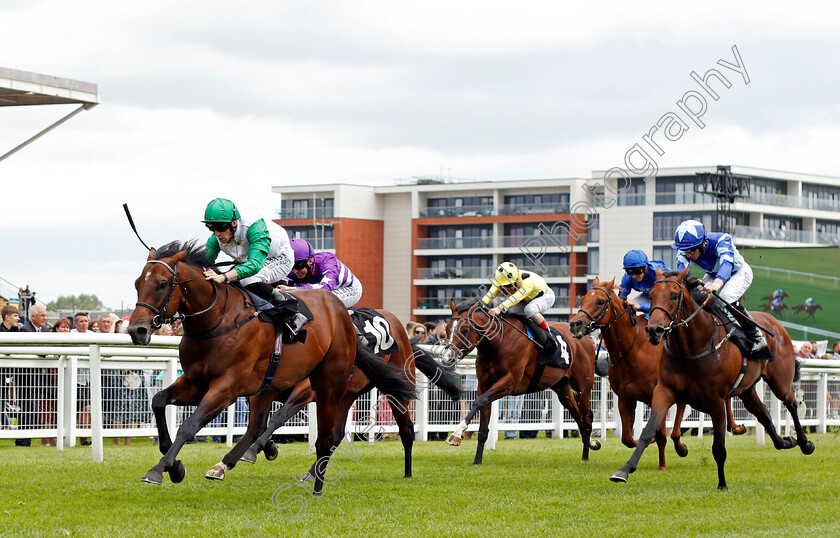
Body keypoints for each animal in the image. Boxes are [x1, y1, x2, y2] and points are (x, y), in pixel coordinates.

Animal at [126, 241, 408, 492]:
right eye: (137, 283)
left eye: (162, 284)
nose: (136, 330)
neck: (217, 320)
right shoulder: (196, 383)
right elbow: (159, 401)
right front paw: (175, 466)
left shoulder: (228, 388)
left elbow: (190, 425)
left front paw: (159, 469)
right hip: (296, 389)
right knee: (263, 427)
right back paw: (229, 463)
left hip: (342, 385)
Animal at [236, 308, 460, 476]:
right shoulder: (259, 392)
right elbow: (257, 423)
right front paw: (268, 447)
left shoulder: (305, 390)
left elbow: (277, 417)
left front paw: (253, 450)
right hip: (348, 395)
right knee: (336, 435)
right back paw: (312, 473)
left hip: (396, 388)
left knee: (406, 429)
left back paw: (408, 473)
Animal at [442, 296, 600, 462]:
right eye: (447, 329)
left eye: (465, 329)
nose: (447, 358)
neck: (499, 342)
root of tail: (584, 338)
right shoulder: (484, 385)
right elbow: (483, 425)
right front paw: (477, 461)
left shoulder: (510, 382)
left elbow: (479, 401)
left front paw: (455, 435)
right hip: (561, 387)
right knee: (578, 416)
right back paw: (589, 446)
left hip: (583, 387)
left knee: (587, 417)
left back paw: (585, 457)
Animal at [568, 276, 744, 468]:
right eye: (584, 298)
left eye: (600, 301)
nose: (575, 324)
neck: (633, 350)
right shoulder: (625, 398)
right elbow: (627, 438)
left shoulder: (656, 394)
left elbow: (659, 435)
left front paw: (662, 465)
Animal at [612, 266, 812, 488]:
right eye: (652, 295)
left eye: (674, 296)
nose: (654, 330)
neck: (692, 347)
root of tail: (775, 323)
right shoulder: (664, 391)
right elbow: (648, 431)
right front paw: (624, 470)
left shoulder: (716, 402)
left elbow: (719, 447)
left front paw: (722, 484)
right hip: (747, 390)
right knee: (764, 415)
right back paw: (785, 441)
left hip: (780, 381)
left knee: (791, 404)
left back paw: (805, 443)